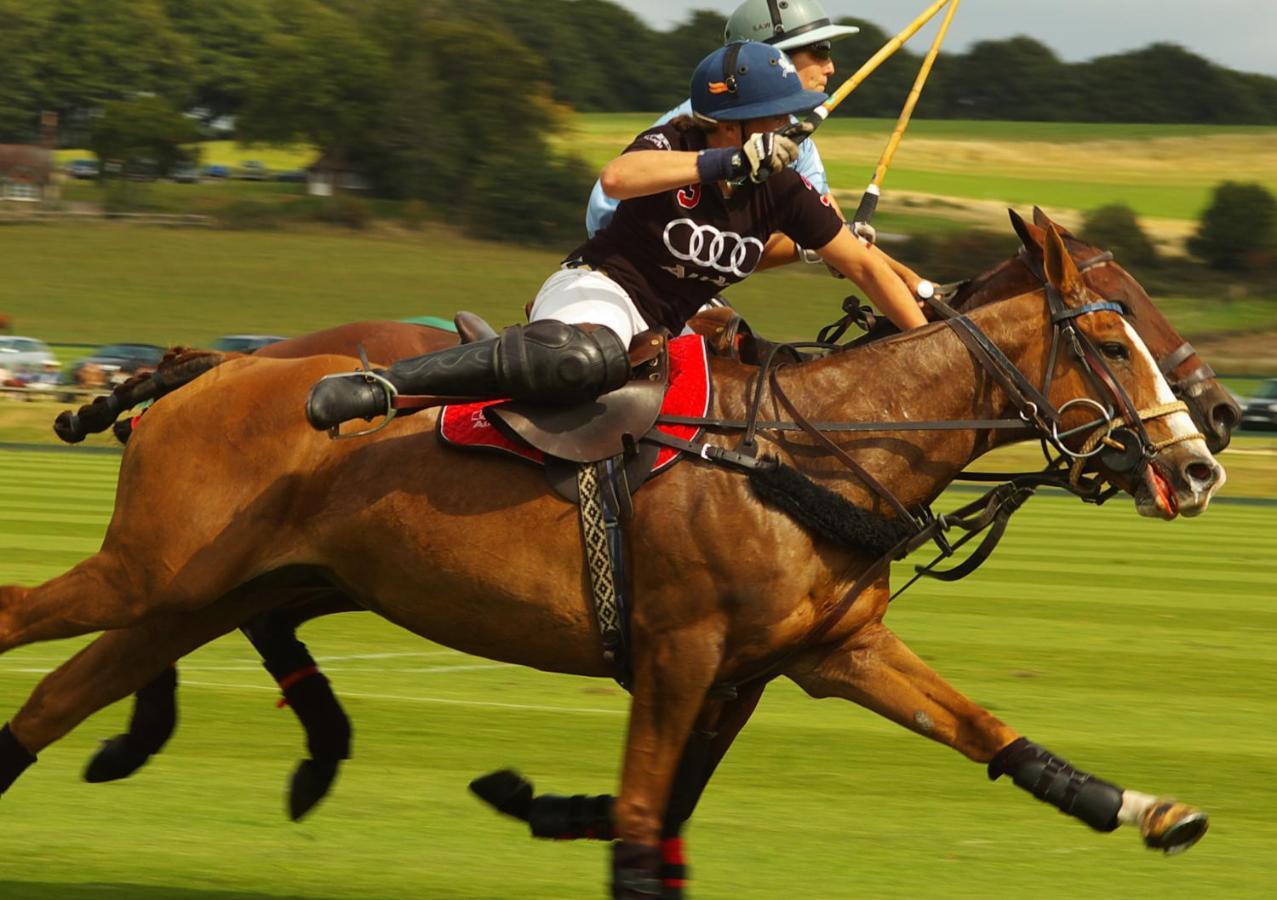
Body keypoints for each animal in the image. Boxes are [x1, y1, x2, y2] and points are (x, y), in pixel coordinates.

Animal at [0, 224, 1220, 893]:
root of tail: (211, 369)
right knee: (23, 618)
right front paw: (555, 807)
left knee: (63, 695)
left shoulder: (822, 654)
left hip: (217, 592)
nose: (1203, 456)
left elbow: (991, 732)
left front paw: (1148, 810)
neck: (814, 445)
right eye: (1108, 334)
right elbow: (643, 821)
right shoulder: (682, 657)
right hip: (149, 573)